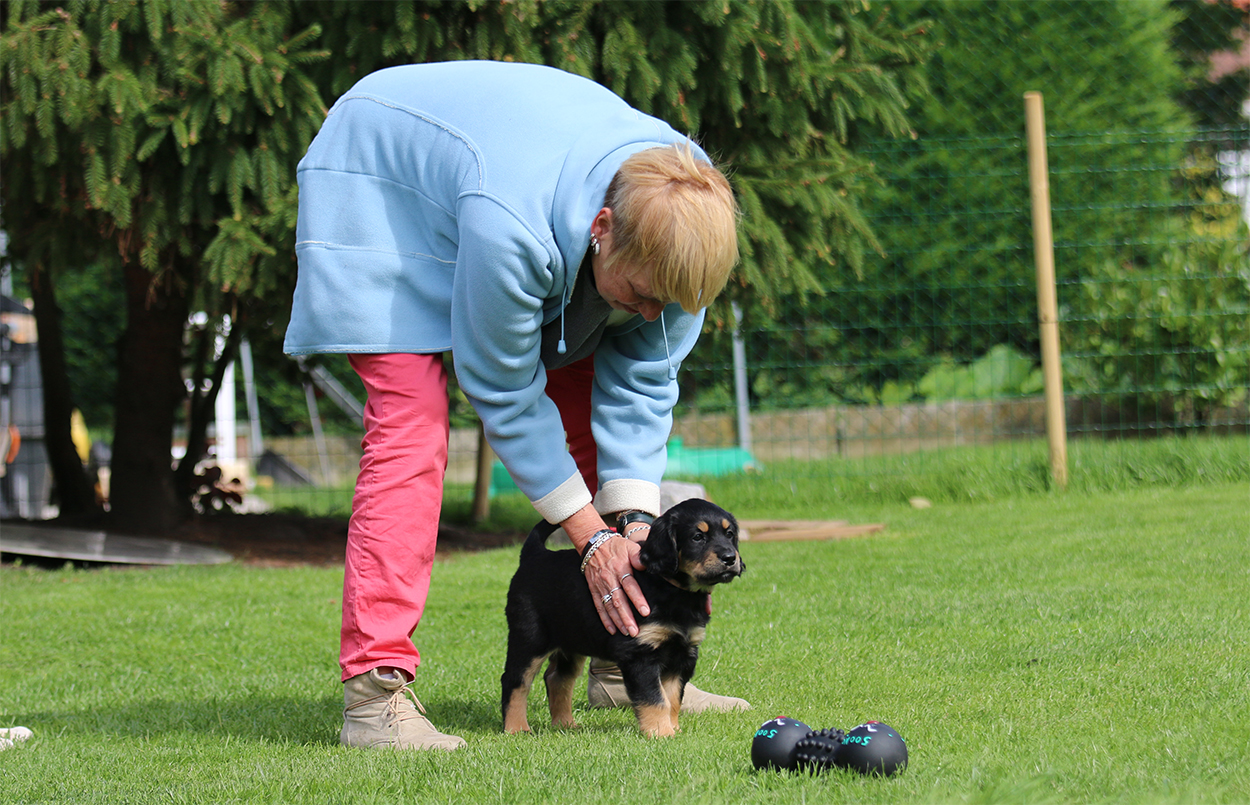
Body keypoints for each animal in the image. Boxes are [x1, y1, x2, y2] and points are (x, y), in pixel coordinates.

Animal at [501, 498, 745, 738]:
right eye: (697, 537)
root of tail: (534, 555)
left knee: (558, 678)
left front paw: (673, 728)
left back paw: (564, 724)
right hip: (530, 638)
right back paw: (516, 728)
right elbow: (655, 698)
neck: (675, 591)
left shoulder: (683, 653)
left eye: (729, 534)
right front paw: (661, 733)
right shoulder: (640, 653)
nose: (730, 558)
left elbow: (673, 697)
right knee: (515, 680)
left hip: (572, 640)